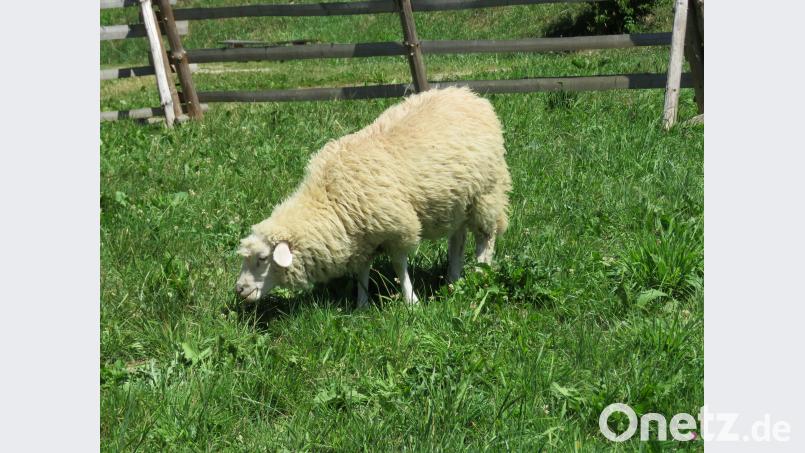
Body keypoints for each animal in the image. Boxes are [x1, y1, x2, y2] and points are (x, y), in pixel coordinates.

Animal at [235, 86, 511, 307]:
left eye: (262, 259)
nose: (239, 290)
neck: (329, 199)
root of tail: (468, 94)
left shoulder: (398, 228)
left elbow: (399, 265)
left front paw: (411, 302)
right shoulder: (360, 239)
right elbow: (362, 272)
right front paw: (362, 304)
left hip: (487, 193)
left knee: (486, 238)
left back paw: (479, 275)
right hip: (458, 200)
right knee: (458, 239)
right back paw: (453, 279)